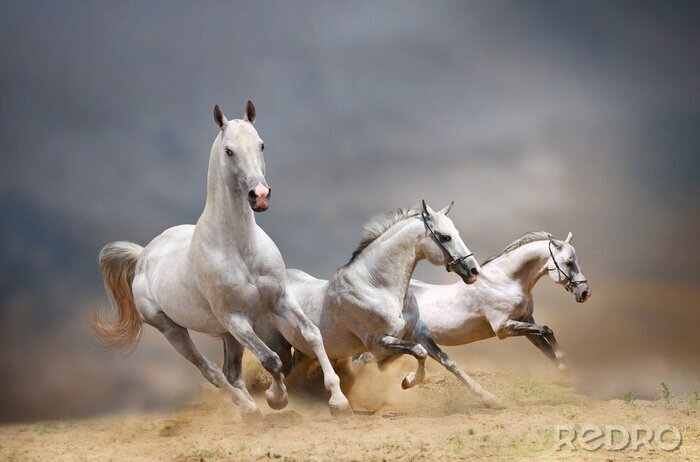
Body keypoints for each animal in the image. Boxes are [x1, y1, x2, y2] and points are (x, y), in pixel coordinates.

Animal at [92, 101, 351, 419]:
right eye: (229, 150)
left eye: (261, 144)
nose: (259, 195)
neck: (240, 250)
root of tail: (143, 256)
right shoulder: (236, 319)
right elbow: (271, 359)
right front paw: (276, 398)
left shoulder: (280, 300)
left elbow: (312, 334)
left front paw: (338, 401)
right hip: (174, 329)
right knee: (212, 371)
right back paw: (249, 408)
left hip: (227, 334)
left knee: (232, 373)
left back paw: (251, 410)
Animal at [260, 201, 500, 408]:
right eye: (445, 237)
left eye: (456, 233)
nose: (473, 271)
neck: (377, 286)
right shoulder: (379, 342)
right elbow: (419, 352)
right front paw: (408, 381)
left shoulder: (418, 332)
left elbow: (448, 362)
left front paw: (489, 398)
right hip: (279, 345)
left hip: (303, 349)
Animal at [408, 231, 591, 374]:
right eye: (568, 262)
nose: (585, 293)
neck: (504, 282)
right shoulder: (503, 327)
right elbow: (546, 330)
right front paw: (563, 359)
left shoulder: (526, 322)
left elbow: (547, 348)